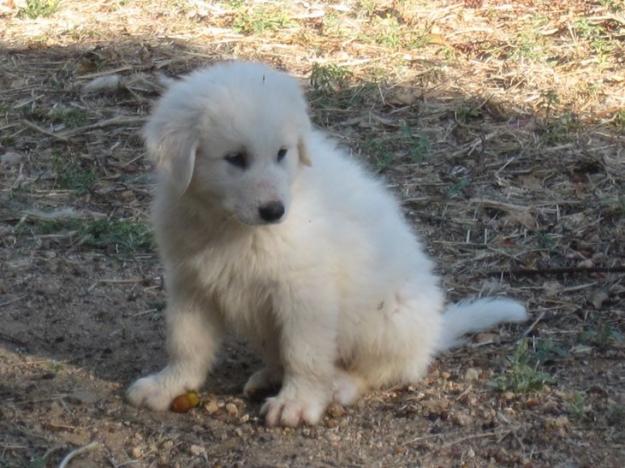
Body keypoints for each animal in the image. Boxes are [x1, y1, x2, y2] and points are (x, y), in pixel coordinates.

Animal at [128, 62, 528, 428]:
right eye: (235, 158)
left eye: (282, 153)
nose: (274, 211)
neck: (231, 226)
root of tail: (433, 332)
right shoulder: (191, 283)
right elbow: (186, 342)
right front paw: (168, 385)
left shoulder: (305, 292)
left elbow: (304, 353)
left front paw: (298, 403)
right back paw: (270, 376)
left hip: (384, 320)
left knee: (383, 370)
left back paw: (339, 385)